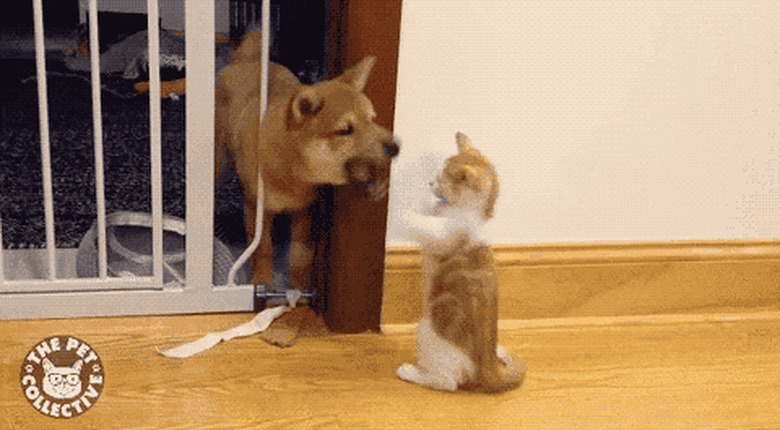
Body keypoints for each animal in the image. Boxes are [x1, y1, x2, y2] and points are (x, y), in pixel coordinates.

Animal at [216, 31, 400, 290]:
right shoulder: (257, 208)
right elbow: (263, 248)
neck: (290, 172)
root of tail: (247, 60)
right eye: (346, 130)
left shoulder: (303, 211)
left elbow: (299, 254)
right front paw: (262, 280)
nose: (395, 147)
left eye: (372, 120)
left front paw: (298, 288)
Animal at [396, 132, 524, 394]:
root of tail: (489, 369)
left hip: (426, 330)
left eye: (441, 178)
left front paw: (399, 210)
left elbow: (420, 223)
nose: (429, 182)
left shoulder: (443, 235)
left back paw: (412, 373)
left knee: (447, 383)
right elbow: (428, 211)